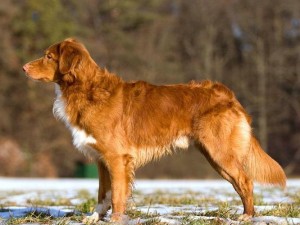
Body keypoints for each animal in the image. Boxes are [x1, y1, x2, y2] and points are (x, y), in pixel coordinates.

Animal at [23, 38, 286, 223]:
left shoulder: (117, 158)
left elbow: (117, 195)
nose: (24, 67)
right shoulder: (101, 160)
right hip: (215, 157)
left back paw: (247, 216)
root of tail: (228, 95)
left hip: (220, 153)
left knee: (246, 181)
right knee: (240, 183)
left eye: (48, 56)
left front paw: (116, 220)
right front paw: (95, 218)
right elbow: (102, 194)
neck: (85, 89)